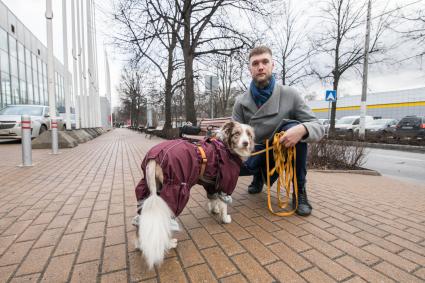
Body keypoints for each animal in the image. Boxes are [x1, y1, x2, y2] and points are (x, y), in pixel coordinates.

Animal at [135, 121, 252, 270]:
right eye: (237, 133)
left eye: (248, 134)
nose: (246, 143)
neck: (225, 146)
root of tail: (153, 158)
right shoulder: (226, 183)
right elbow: (224, 205)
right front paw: (225, 218)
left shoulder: (212, 183)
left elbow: (214, 199)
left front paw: (215, 210)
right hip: (176, 191)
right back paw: (169, 243)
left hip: (147, 188)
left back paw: (140, 244)